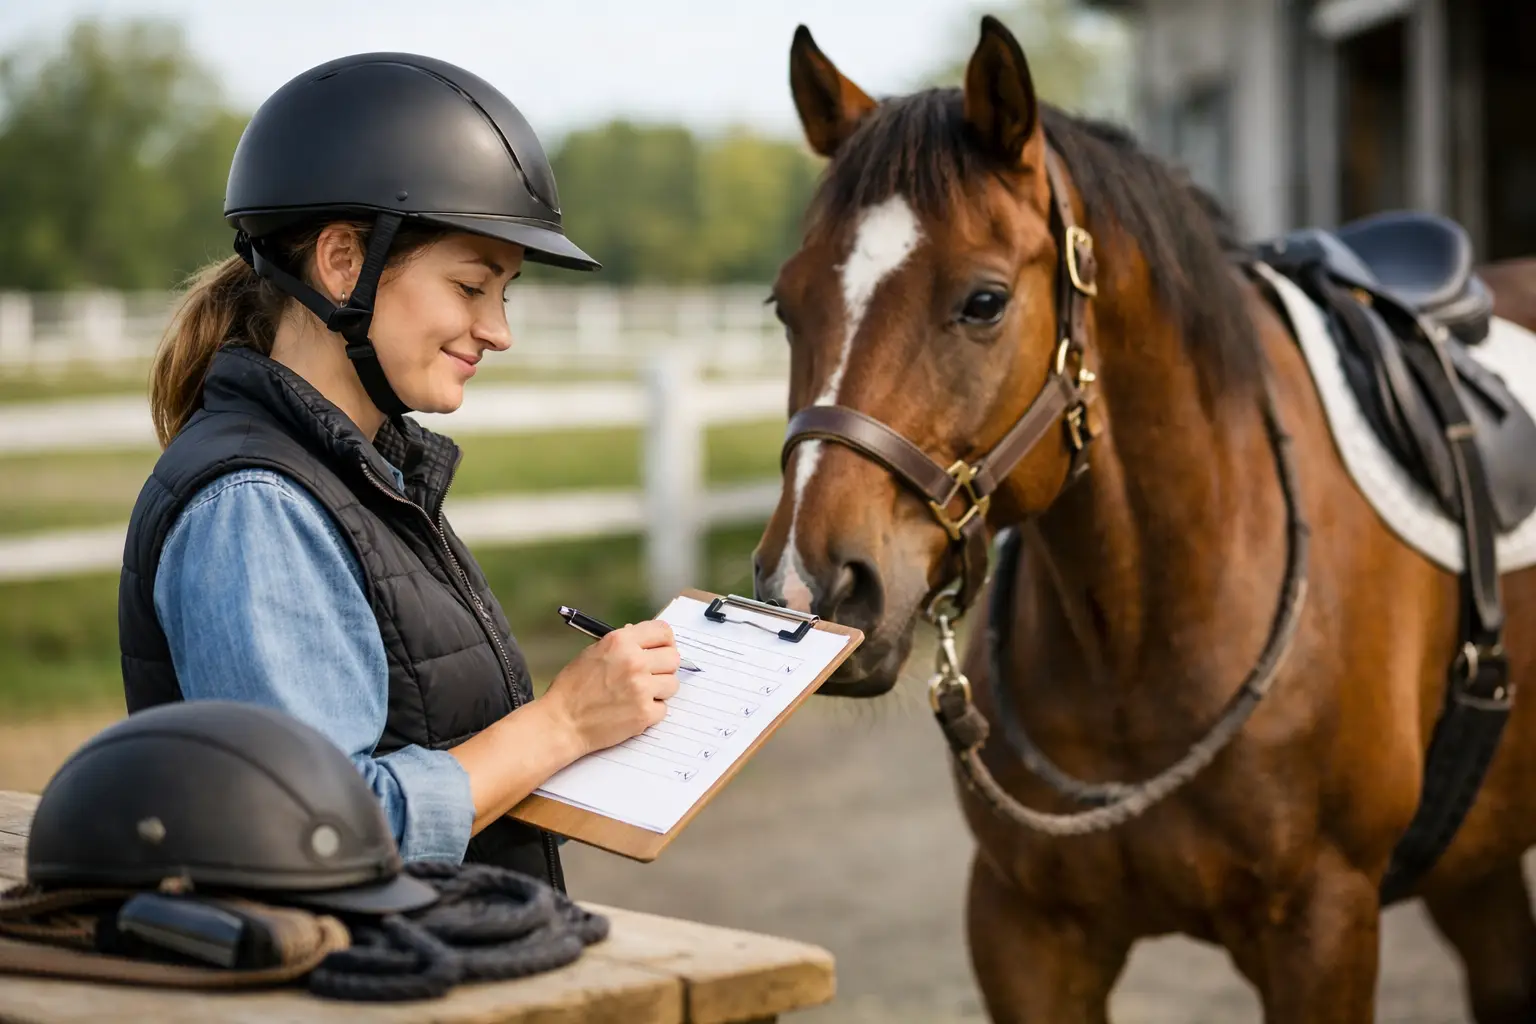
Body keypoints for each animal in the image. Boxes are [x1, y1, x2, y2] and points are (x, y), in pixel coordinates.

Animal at [751, 16, 1536, 1024]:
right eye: (786, 304)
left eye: (984, 301)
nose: (811, 588)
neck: (1145, 626)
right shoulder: (1025, 931)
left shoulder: (1323, 929)